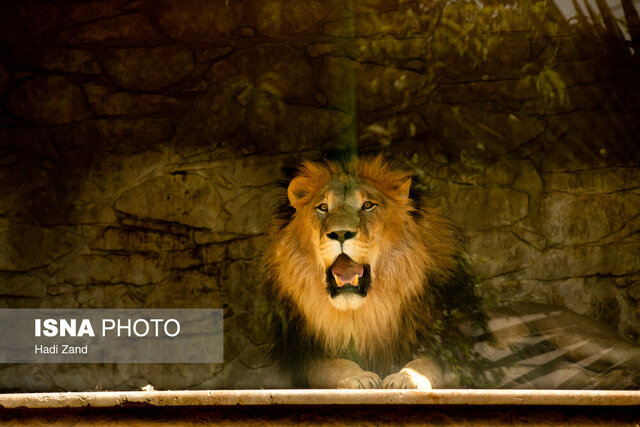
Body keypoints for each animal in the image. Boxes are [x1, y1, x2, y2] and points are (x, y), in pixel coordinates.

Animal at [262, 155, 640, 390]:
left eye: (368, 205)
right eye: (322, 207)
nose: (340, 233)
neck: (369, 311)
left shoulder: (453, 351)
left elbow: (426, 362)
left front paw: (405, 378)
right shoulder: (304, 356)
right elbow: (332, 365)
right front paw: (357, 378)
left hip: (582, 339)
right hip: (557, 373)